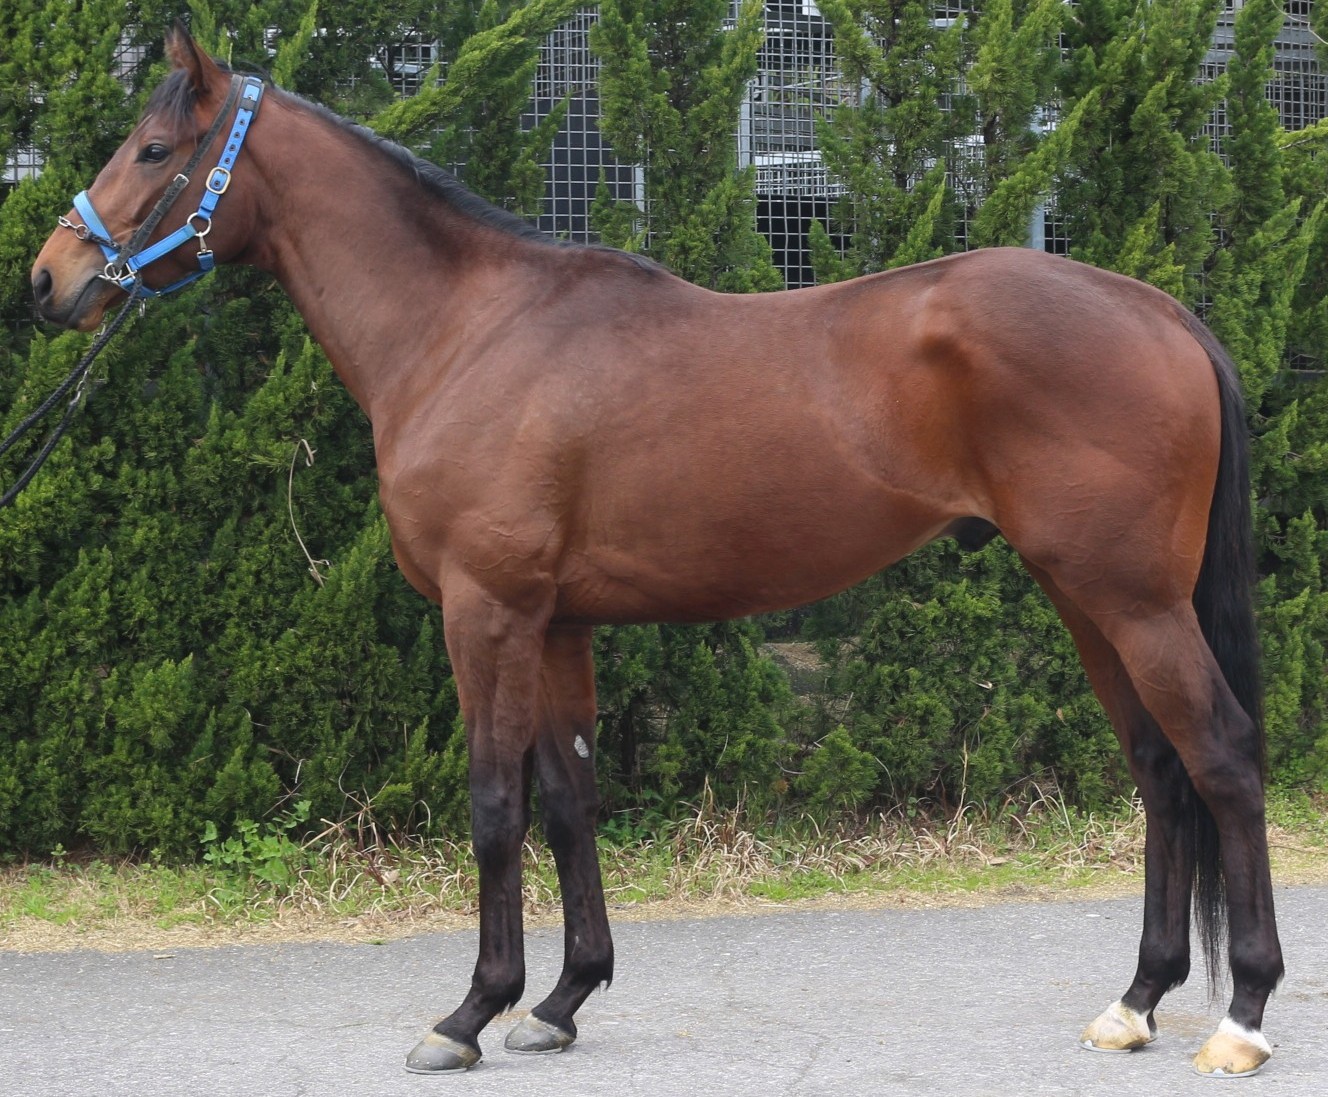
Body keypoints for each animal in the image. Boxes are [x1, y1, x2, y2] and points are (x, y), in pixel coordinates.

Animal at [31, 27, 1282, 1078]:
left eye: (152, 148)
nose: (49, 279)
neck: (464, 331)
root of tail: (1160, 312)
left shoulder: (484, 610)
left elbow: (494, 802)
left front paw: (467, 1012)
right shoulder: (556, 622)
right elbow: (569, 796)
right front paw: (559, 999)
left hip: (1131, 599)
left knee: (1219, 754)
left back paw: (1238, 1016)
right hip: (1084, 597)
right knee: (1157, 767)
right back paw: (1133, 1000)